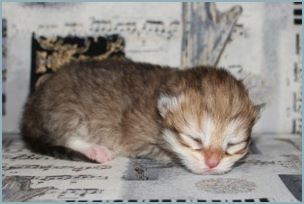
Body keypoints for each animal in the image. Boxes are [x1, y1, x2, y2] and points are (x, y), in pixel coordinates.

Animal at [21, 58, 258, 174]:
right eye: (195, 140)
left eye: (232, 145)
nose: (212, 164)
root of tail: (31, 105)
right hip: (65, 109)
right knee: (64, 136)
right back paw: (95, 150)